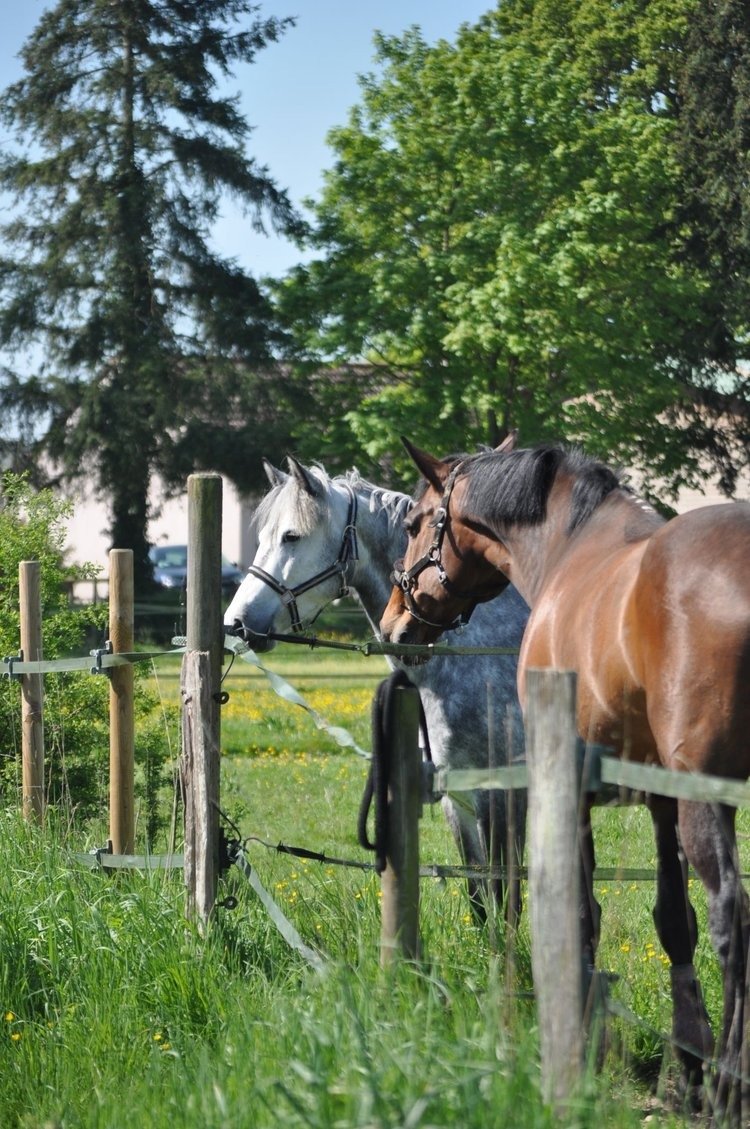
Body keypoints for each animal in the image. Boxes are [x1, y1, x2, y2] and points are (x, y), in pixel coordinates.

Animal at [224, 455, 530, 926]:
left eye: (291, 536)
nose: (237, 622)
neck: (473, 648)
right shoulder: (457, 797)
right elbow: (480, 900)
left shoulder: (504, 794)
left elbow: (506, 900)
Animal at [380, 432, 750, 1117]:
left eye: (416, 524)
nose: (396, 621)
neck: (571, 551)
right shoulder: (657, 795)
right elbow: (672, 919)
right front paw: (687, 1058)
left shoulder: (571, 788)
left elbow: (581, 914)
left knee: (732, 926)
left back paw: (730, 1091)